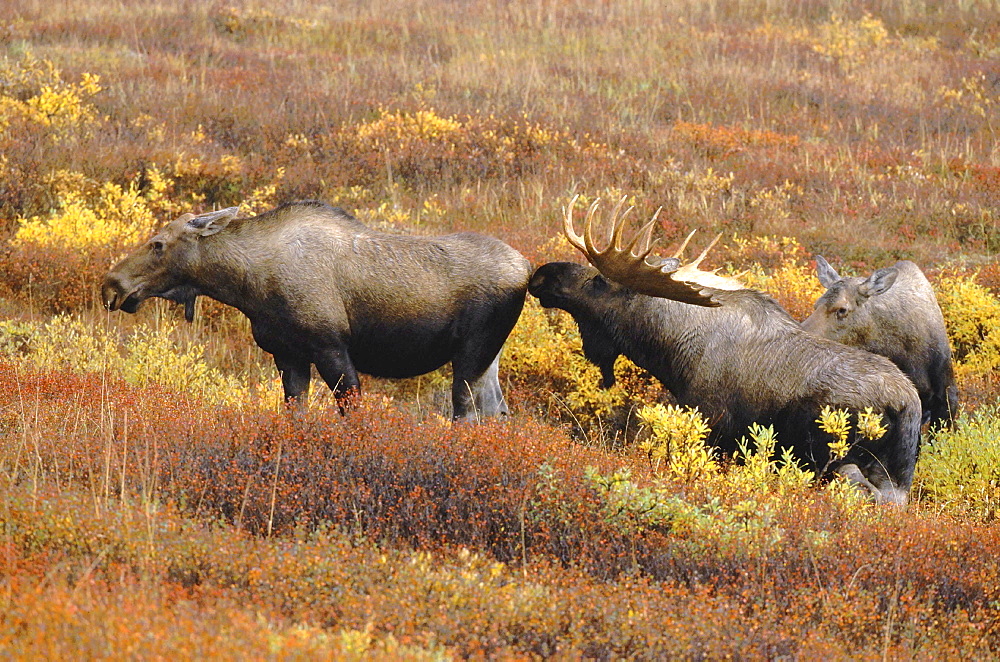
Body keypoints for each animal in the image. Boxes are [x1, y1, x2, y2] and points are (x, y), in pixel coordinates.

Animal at [101, 200, 532, 422]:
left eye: (158, 243)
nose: (111, 285)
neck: (247, 284)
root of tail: (527, 269)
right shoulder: (287, 354)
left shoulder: (330, 347)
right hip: (488, 359)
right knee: (498, 411)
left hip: (472, 354)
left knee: (468, 413)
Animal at [532, 197, 920, 508]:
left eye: (598, 280)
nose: (542, 273)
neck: (669, 352)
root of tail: (906, 404)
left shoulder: (714, 425)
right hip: (898, 474)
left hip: (838, 455)